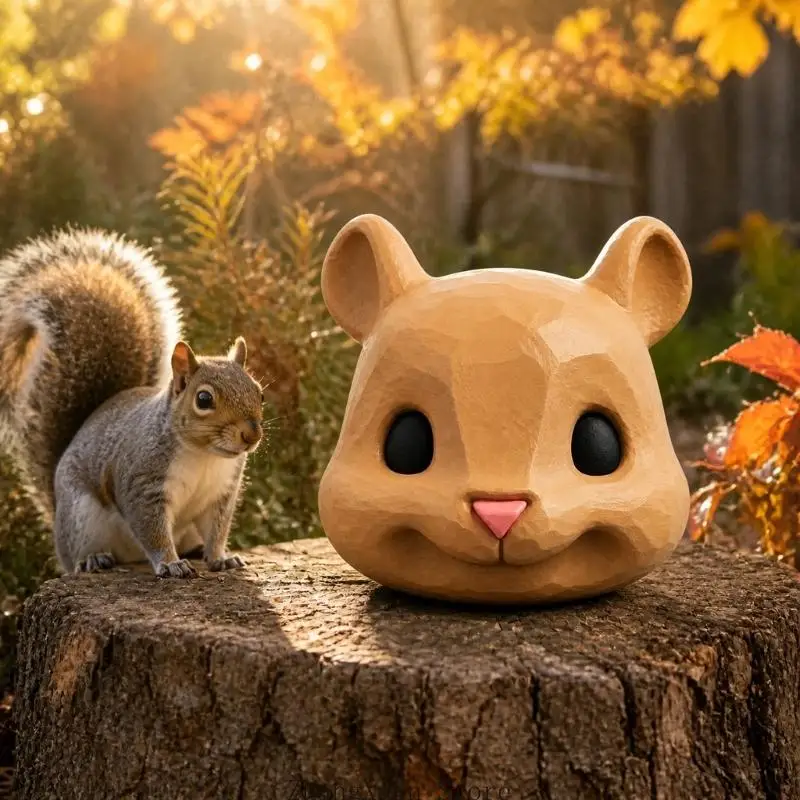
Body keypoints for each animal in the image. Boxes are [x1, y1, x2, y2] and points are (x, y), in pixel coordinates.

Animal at [0, 229, 264, 578]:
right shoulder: (141, 484)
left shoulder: (222, 492)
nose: (251, 434)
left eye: (260, 392)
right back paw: (92, 559)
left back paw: (193, 550)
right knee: (77, 554)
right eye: (204, 399)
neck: (204, 456)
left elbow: (217, 529)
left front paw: (221, 557)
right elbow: (152, 530)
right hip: (81, 517)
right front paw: (170, 563)